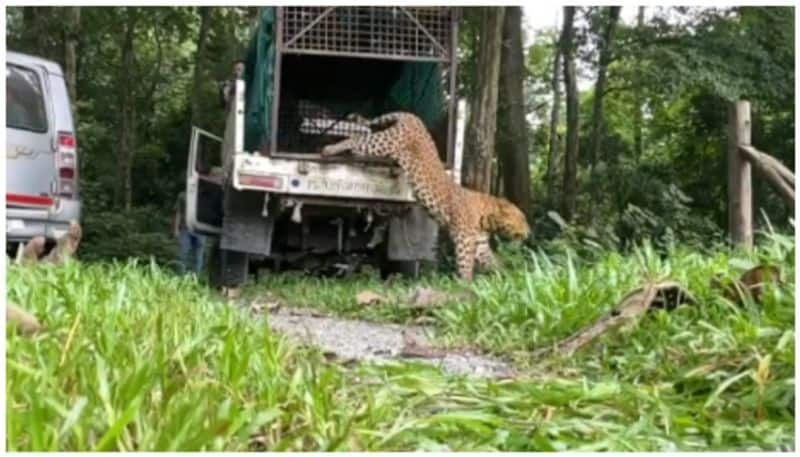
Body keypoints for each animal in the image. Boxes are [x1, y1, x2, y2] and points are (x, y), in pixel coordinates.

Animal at [322, 112, 528, 280]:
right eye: (522, 219)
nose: (529, 232)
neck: (487, 218)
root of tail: (415, 119)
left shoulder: (480, 243)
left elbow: (492, 261)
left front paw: (508, 276)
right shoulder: (464, 239)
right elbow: (465, 264)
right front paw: (466, 284)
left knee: (359, 140)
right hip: (384, 143)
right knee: (357, 138)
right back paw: (328, 149)